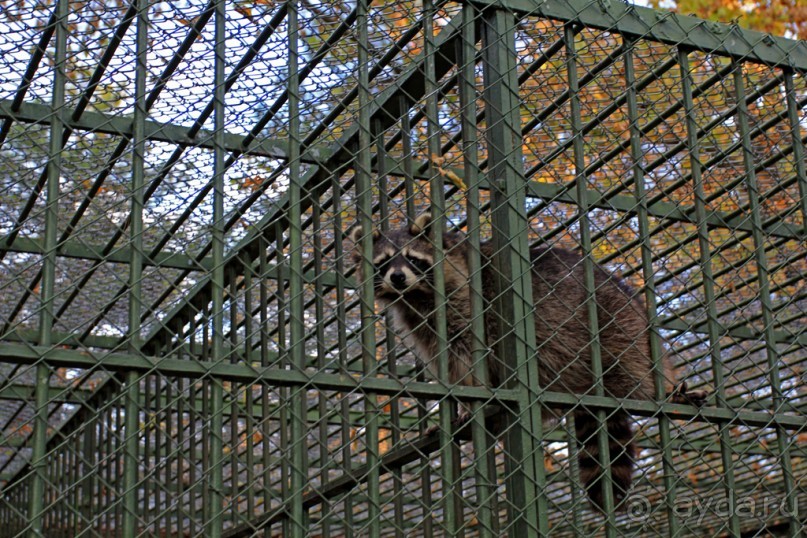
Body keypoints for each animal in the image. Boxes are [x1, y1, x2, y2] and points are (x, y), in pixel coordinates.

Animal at [350, 211, 704, 508]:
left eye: (413, 259)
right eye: (383, 262)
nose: (397, 277)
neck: (416, 296)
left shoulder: (470, 302)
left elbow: (469, 357)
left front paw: (469, 401)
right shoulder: (423, 324)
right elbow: (446, 361)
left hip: (618, 324)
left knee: (633, 367)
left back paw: (664, 391)